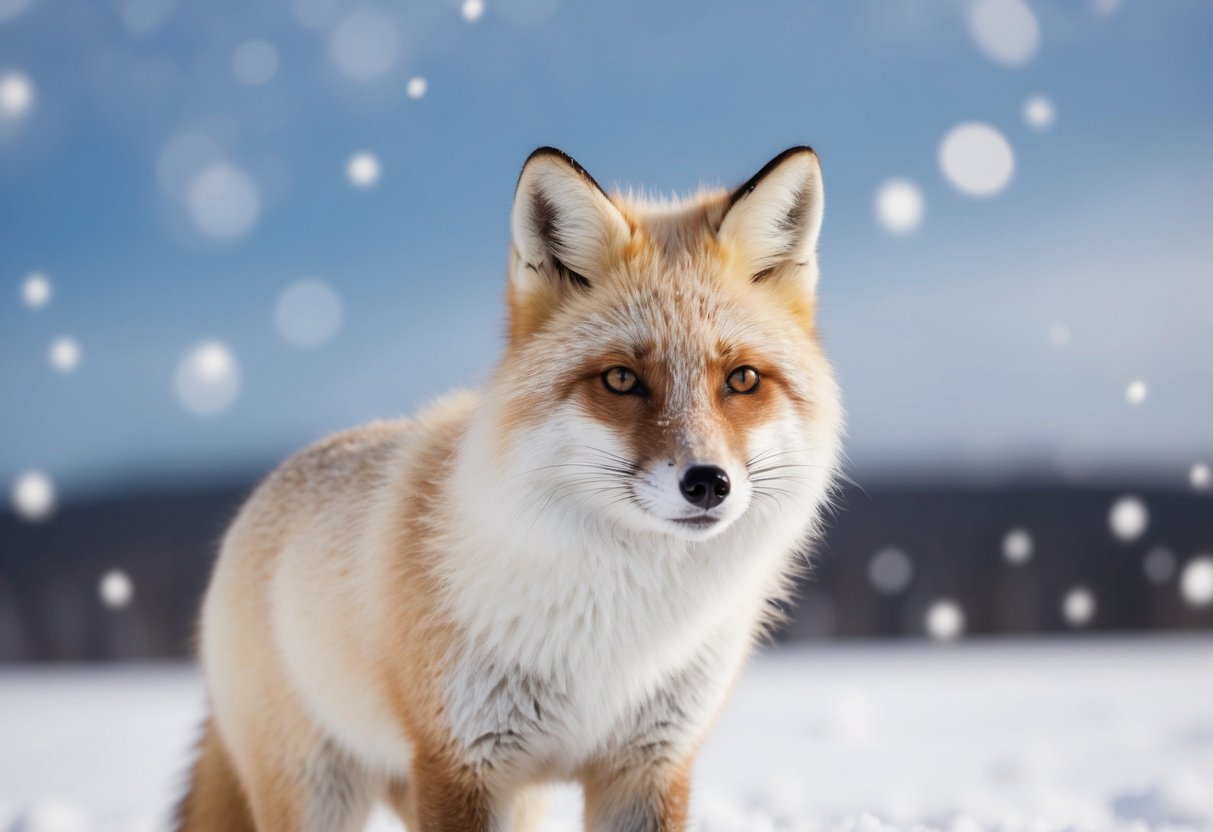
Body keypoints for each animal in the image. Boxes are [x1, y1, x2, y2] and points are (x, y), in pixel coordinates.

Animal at [176, 145, 843, 832]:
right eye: (621, 379)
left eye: (742, 379)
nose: (708, 482)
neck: (618, 628)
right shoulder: (461, 762)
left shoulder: (649, 765)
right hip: (320, 793)